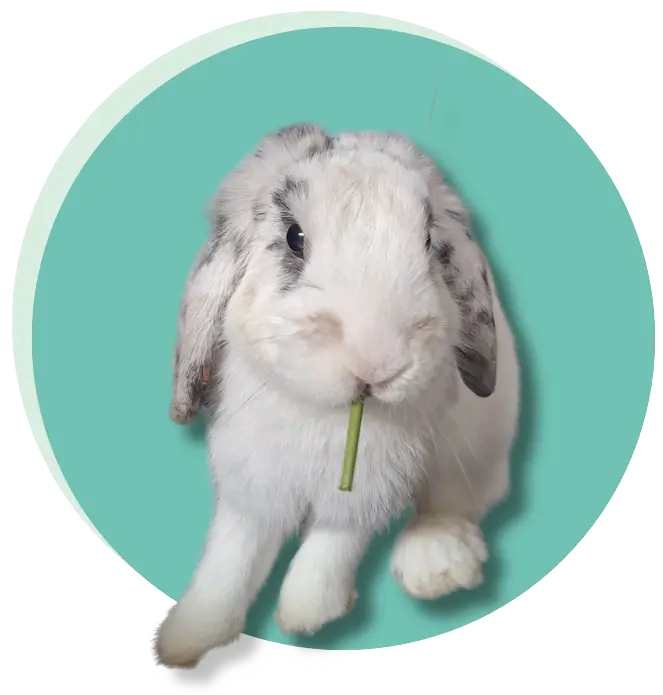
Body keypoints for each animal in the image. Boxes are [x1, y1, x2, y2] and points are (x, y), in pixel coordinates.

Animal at [154, 124, 520, 668]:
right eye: (293, 238)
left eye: (429, 242)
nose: (377, 363)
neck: (328, 415)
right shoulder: (252, 484)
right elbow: (232, 555)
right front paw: (184, 638)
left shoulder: (364, 487)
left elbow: (332, 545)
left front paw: (307, 611)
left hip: (475, 451)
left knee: (453, 502)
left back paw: (437, 564)